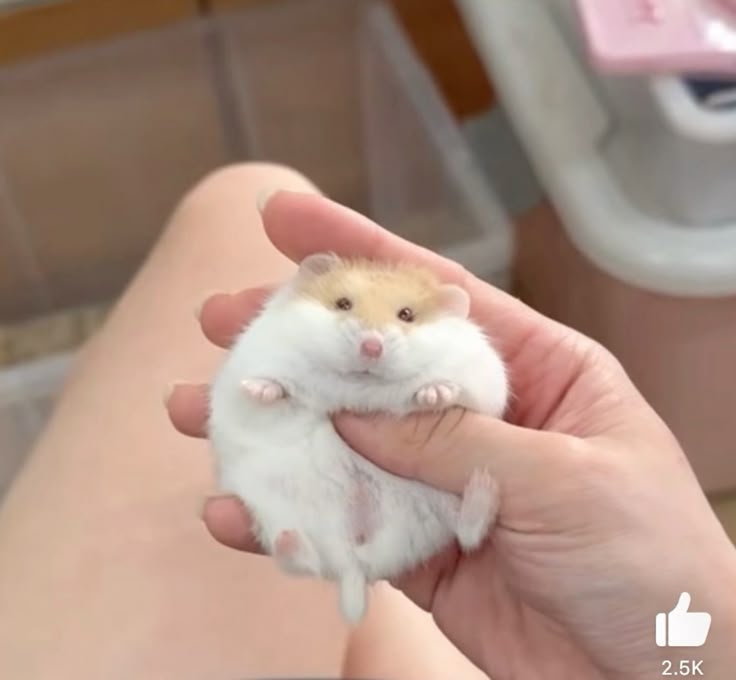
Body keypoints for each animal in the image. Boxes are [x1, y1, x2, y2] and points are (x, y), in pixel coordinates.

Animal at [208, 252, 509, 623]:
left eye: (406, 314)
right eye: (342, 304)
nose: (371, 346)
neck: (358, 386)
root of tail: (357, 557)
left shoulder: (483, 384)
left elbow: (454, 391)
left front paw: (434, 393)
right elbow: (276, 385)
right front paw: (257, 389)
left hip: (436, 505)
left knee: (466, 533)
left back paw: (483, 488)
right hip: (272, 504)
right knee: (305, 564)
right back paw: (290, 542)